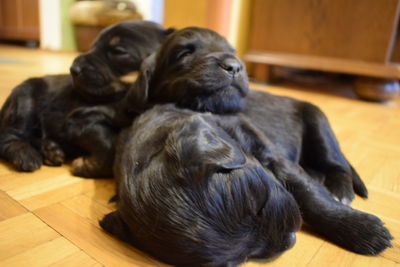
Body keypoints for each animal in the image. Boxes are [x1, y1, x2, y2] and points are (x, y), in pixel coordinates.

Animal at [0, 19, 173, 174]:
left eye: (118, 51)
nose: (73, 69)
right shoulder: (79, 120)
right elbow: (108, 145)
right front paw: (84, 166)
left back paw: (51, 150)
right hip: (24, 100)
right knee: (9, 134)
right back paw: (26, 154)